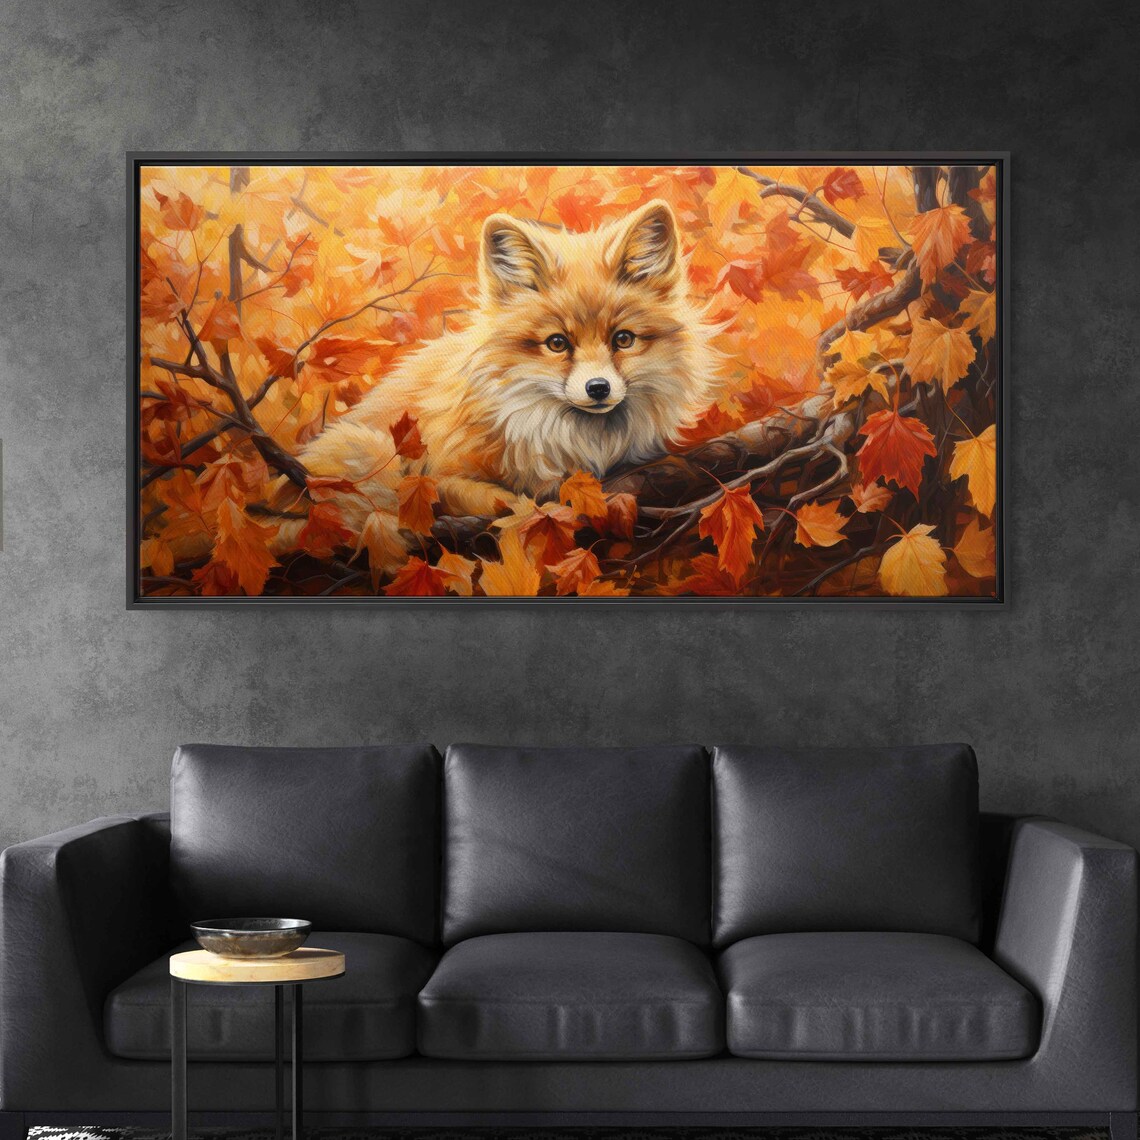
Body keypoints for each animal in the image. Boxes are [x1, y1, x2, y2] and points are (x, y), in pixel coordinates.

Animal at [283, 198, 720, 574]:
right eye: (557, 343)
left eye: (623, 339)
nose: (598, 388)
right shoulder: (432, 475)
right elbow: (495, 499)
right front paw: (527, 509)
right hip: (369, 446)